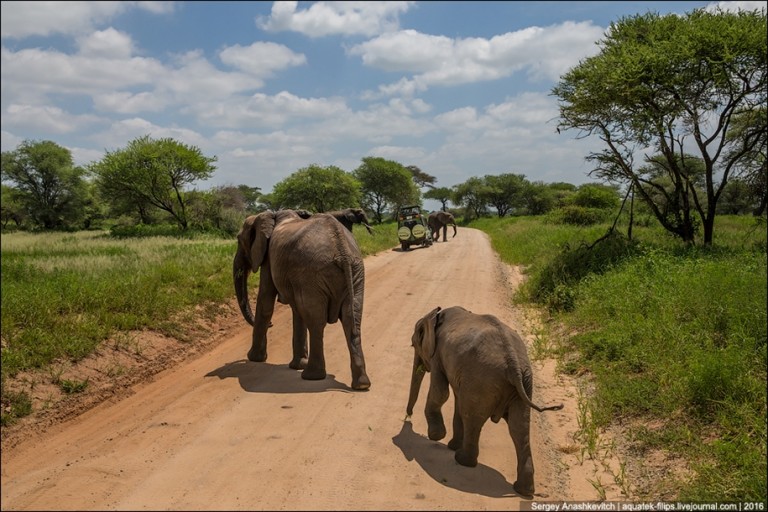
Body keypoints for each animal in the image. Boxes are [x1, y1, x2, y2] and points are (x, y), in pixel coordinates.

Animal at [234, 210, 372, 390]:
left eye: (239, 240)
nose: (272, 324)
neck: (270, 215)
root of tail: (342, 251)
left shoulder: (269, 259)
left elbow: (265, 302)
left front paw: (255, 358)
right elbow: (297, 311)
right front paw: (296, 365)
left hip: (313, 275)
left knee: (316, 322)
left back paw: (311, 376)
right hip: (355, 273)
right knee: (351, 318)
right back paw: (361, 384)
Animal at [408, 304, 564, 496]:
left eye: (414, 344)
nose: (408, 416)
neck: (435, 315)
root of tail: (513, 362)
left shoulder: (438, 356)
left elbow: (441, 392)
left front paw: (437, 437)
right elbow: (456, 400)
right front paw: (449, 444)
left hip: (482, 379)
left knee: (473, 418)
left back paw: (462, 460)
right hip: (523, 383)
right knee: (518, 428)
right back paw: (523, 490)